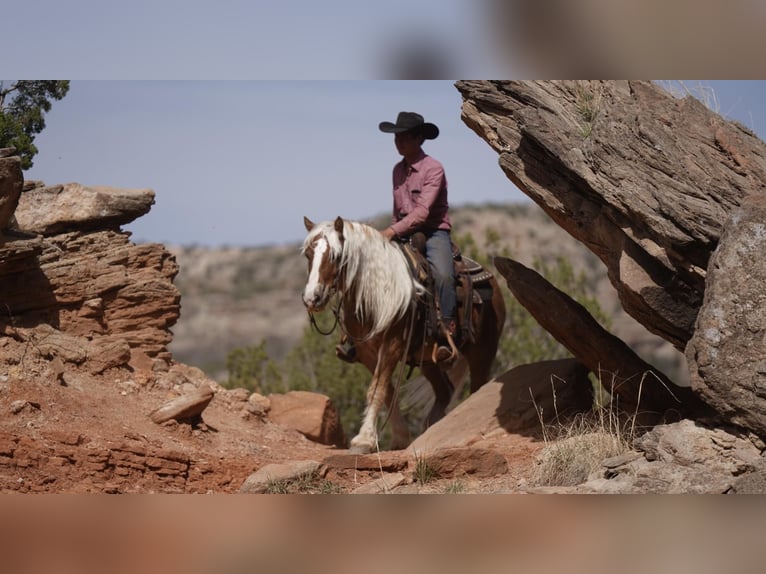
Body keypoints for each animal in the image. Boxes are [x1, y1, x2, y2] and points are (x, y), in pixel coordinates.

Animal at [304, 216, 508, 454]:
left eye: (336, 256)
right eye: (308, 254)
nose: (312, 298)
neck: (375, 294)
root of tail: (493, 282)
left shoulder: (393, 344)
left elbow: (377, 389)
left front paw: (363, 439)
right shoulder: (367, 351)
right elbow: (386, 391)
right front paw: (399, 438)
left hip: (483, 352)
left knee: (477, 388)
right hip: (428, 360)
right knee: (445, 391)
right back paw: (430, 430)